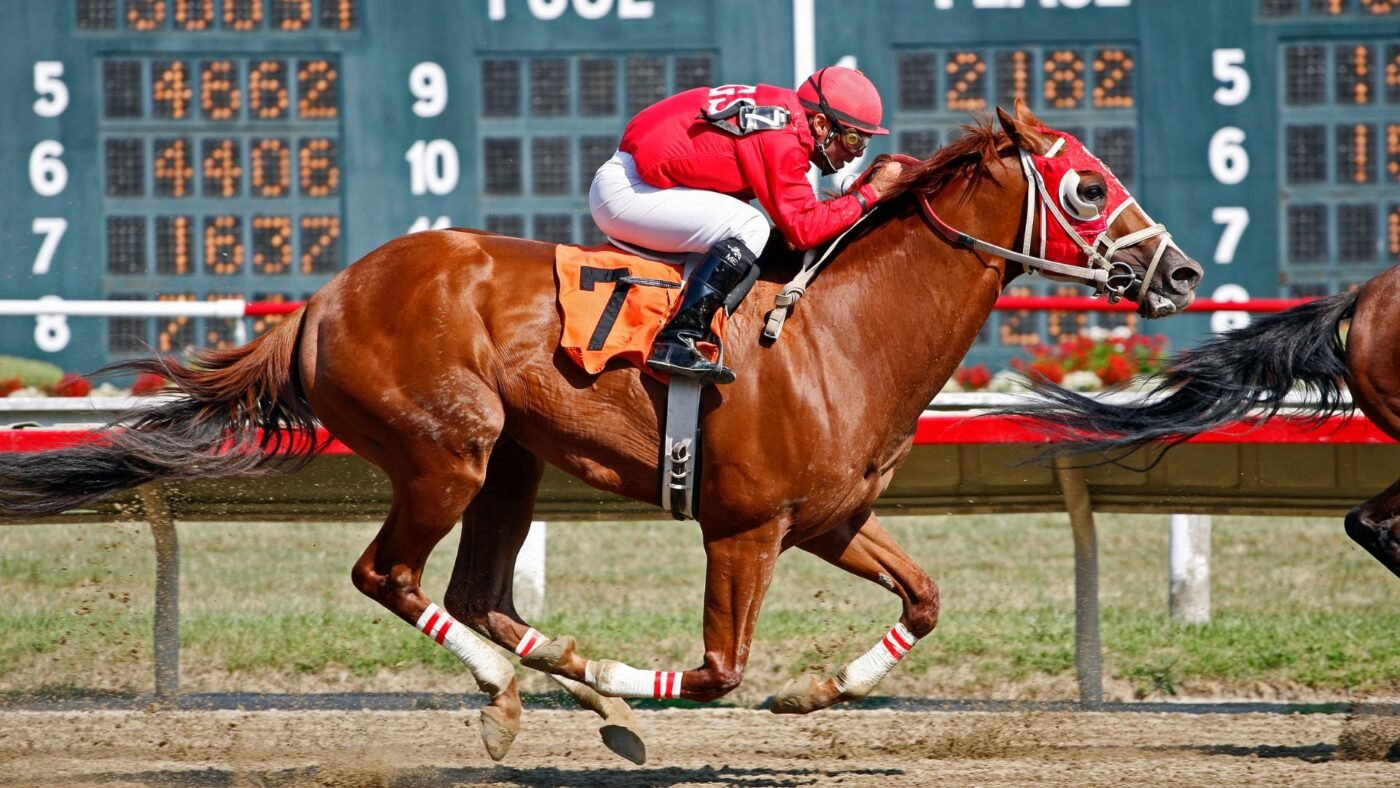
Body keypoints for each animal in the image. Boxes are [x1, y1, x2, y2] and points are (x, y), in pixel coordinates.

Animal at [0, 101, 1202, 762]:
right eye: (1086, 187)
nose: (1182, 272)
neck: (840, 335)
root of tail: (323, 300)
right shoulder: (743, 527)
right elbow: (715, 672)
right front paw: (641, 695)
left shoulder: (829, 518)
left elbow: (924, 599)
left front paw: (815, 689)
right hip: (449, 450)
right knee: (391, 574)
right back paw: (511, 693)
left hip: (512, 463)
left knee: (480, 590)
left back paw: (553, 677)